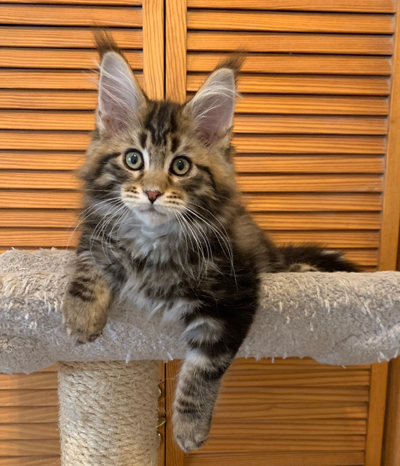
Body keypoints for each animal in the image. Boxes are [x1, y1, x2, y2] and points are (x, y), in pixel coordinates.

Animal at [63, 34, 360, 454]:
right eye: (134, 159)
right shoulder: (96, 230)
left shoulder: (234, 295)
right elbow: (88, 263)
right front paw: (80, 315)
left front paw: (189, 428)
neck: (154, 244)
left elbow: (203, 370)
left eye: (180, 166)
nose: (152, 192)